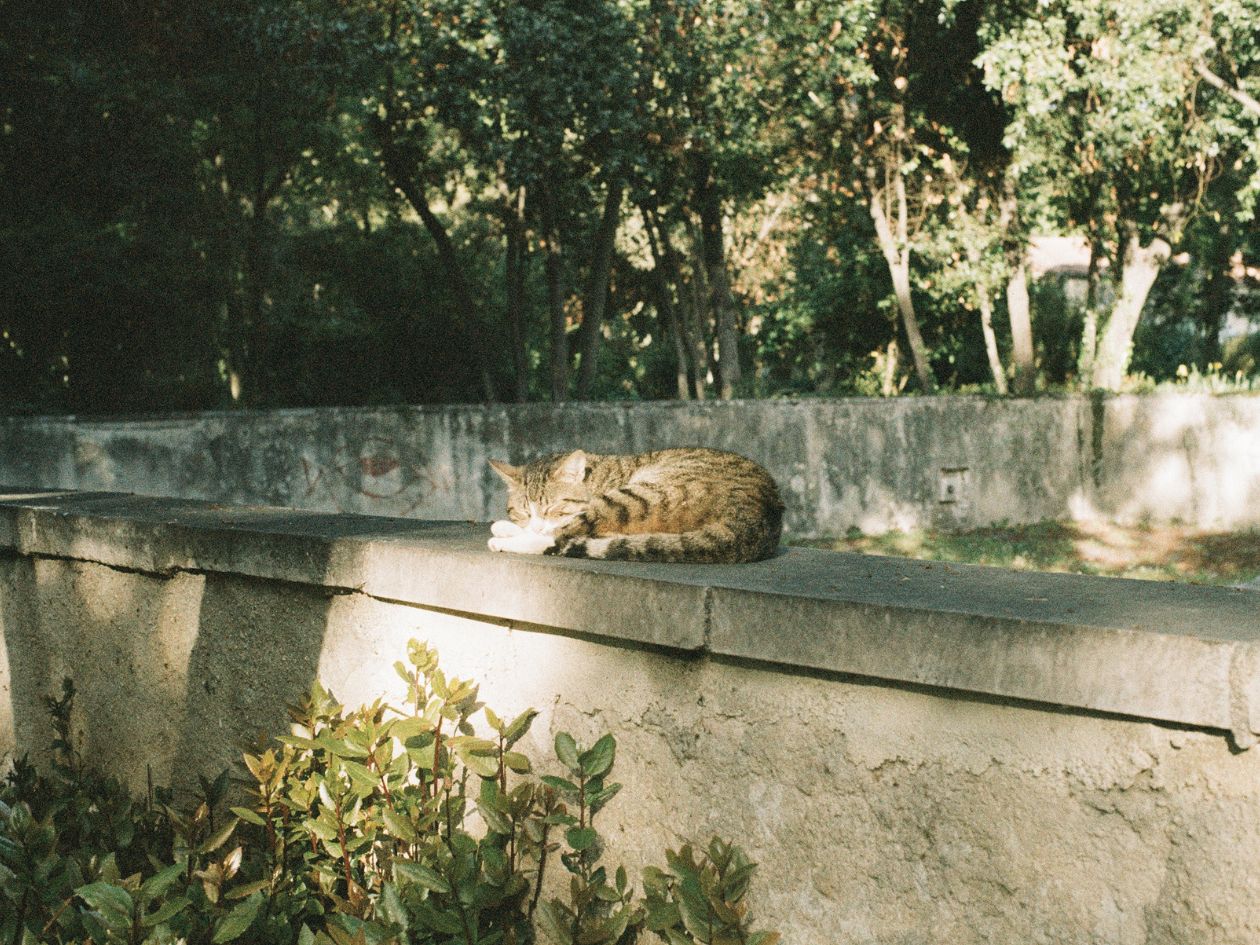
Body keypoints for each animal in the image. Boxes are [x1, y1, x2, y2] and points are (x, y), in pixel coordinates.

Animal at [486, 446, 781, 561]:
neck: (595, 477)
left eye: (553, 509)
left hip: (637, 494)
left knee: (562, 537)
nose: (533, 525)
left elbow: (560, 529)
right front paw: (513, 526)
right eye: (523, 512)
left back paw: (505, 539)